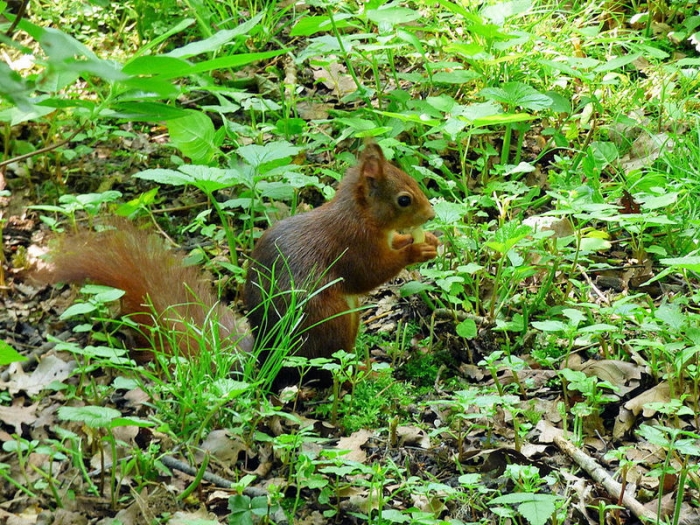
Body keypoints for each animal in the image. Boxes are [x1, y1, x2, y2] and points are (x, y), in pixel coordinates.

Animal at [37, 142, 438, 383]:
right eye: (404, 199)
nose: (432, 214)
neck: (359, 215)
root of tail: (266, 357)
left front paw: (424, 241)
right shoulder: (352, 245)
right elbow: (369, 274)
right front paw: (414, 251)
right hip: (331, 319)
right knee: (325, 369)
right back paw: (363, 373)